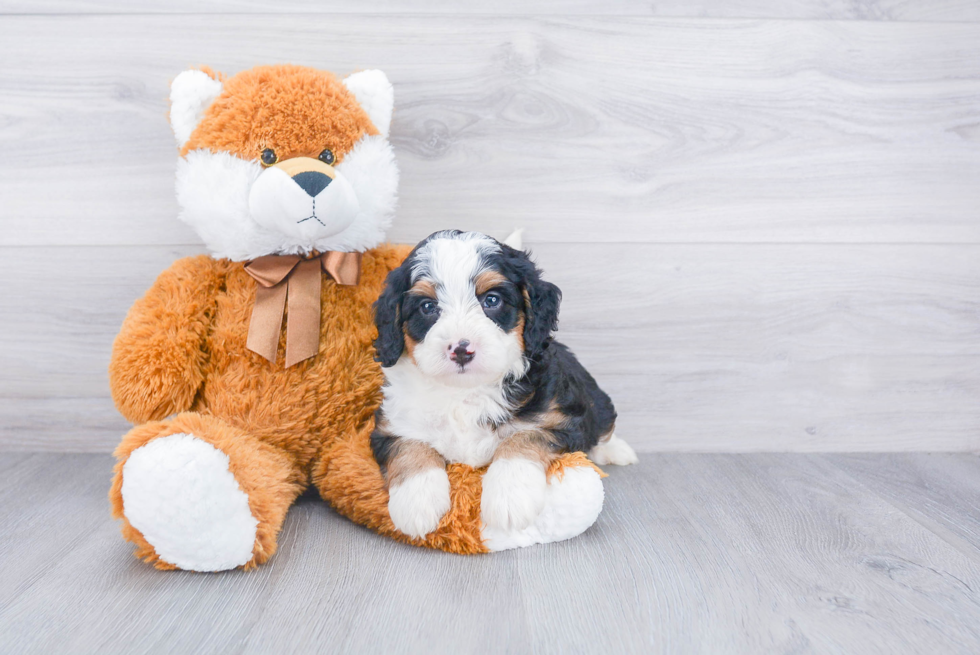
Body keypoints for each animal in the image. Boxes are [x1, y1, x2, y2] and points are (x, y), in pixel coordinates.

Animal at [372, 231, 640, 540]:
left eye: (491, 300)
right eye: (427, 307)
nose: (461, 350)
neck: (466, 391)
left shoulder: (558, 417)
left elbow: (522, 439)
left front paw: (510, 499)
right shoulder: (391, 424)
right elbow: (409, 447)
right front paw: (416, 503)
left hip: (593, 395)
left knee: (604, 421)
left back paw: (617, 451)